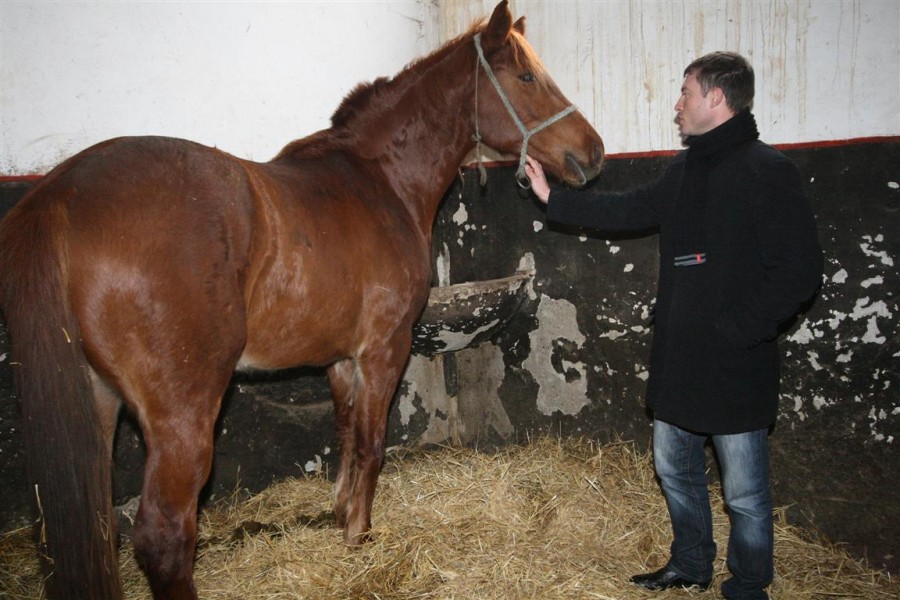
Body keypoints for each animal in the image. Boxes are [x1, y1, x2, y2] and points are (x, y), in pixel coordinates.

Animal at [0, 2, 604, 596]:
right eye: (527, 78)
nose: (594, 152)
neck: (380, 181)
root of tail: (58, 197)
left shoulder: (339, 358)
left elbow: (346, 434)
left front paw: (340, 515)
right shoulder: (384, 350)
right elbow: (372, 444)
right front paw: (359, 537)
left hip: (99, 401)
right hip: (183, 414)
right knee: (164, 537)